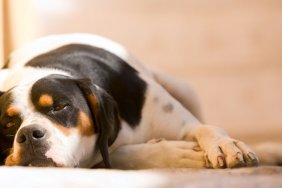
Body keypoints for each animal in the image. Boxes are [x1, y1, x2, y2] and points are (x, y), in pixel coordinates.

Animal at [0, 33, 260, 169]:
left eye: (60, 106)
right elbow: (117, 154)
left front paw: (225, 145)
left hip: (184, 89)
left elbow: (206, 129)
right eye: (8, 124)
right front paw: (177, 154)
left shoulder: (179, 122)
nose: (29, 134)